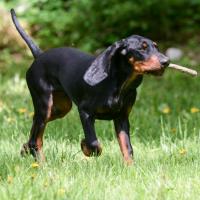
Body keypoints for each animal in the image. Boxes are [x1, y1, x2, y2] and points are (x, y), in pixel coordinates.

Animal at [10, 8, 170, 164]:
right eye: (142, 49)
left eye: (156, 47)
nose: (166, 61)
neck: (119, 84)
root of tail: (39, 56)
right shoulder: (85, 112)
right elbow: (94, 143)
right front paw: (84, 146)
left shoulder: (122, 117)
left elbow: (127, 147)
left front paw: (131, 167)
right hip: (45, 104)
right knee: (37, 139)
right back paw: (42, 164)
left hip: (60, 108)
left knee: (34, 129)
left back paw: (26, 148)